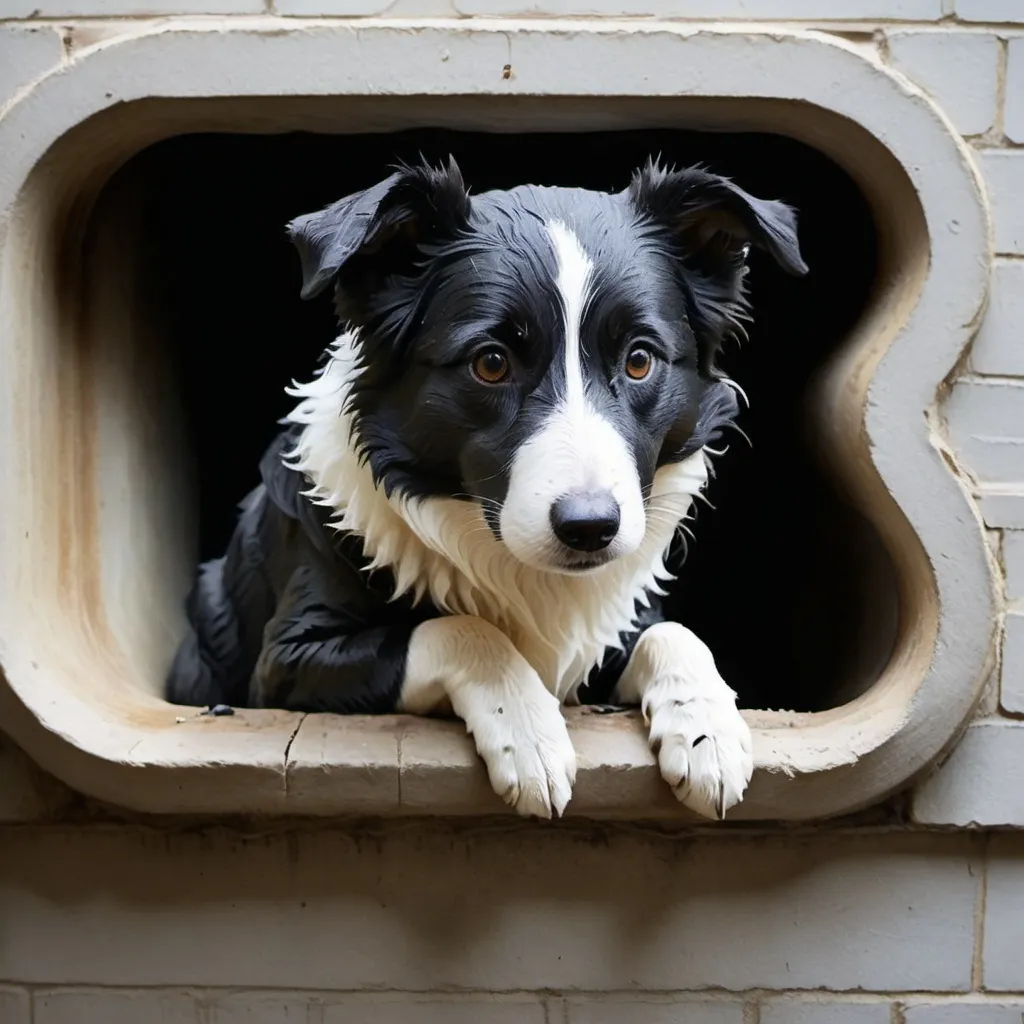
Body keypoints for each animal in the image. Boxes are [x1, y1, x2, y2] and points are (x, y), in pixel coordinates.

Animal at [165, 153, 806, 823]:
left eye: (638, 360)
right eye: (491, 363)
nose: (590, 528)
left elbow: (672, 632)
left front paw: (709, 729)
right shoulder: (286, 662)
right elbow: (464, 629)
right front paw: (529, 732)